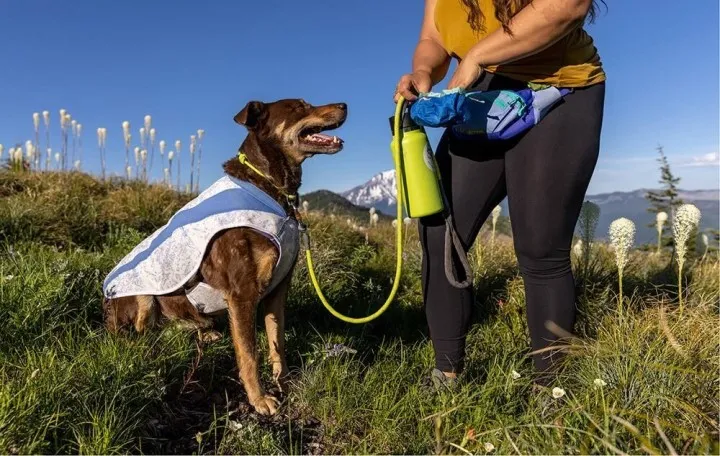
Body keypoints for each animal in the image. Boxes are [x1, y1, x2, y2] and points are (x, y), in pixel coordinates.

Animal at [102, 98, 348, 416]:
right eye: (299, 107)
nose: (345, 104)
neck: (268, 184)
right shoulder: (242, 293)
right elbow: (249, 353)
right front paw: (259, 399)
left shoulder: (277, 290)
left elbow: (276, 341)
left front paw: (282, 380)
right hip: (140, 297)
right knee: (143, 331)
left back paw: (201, 332)